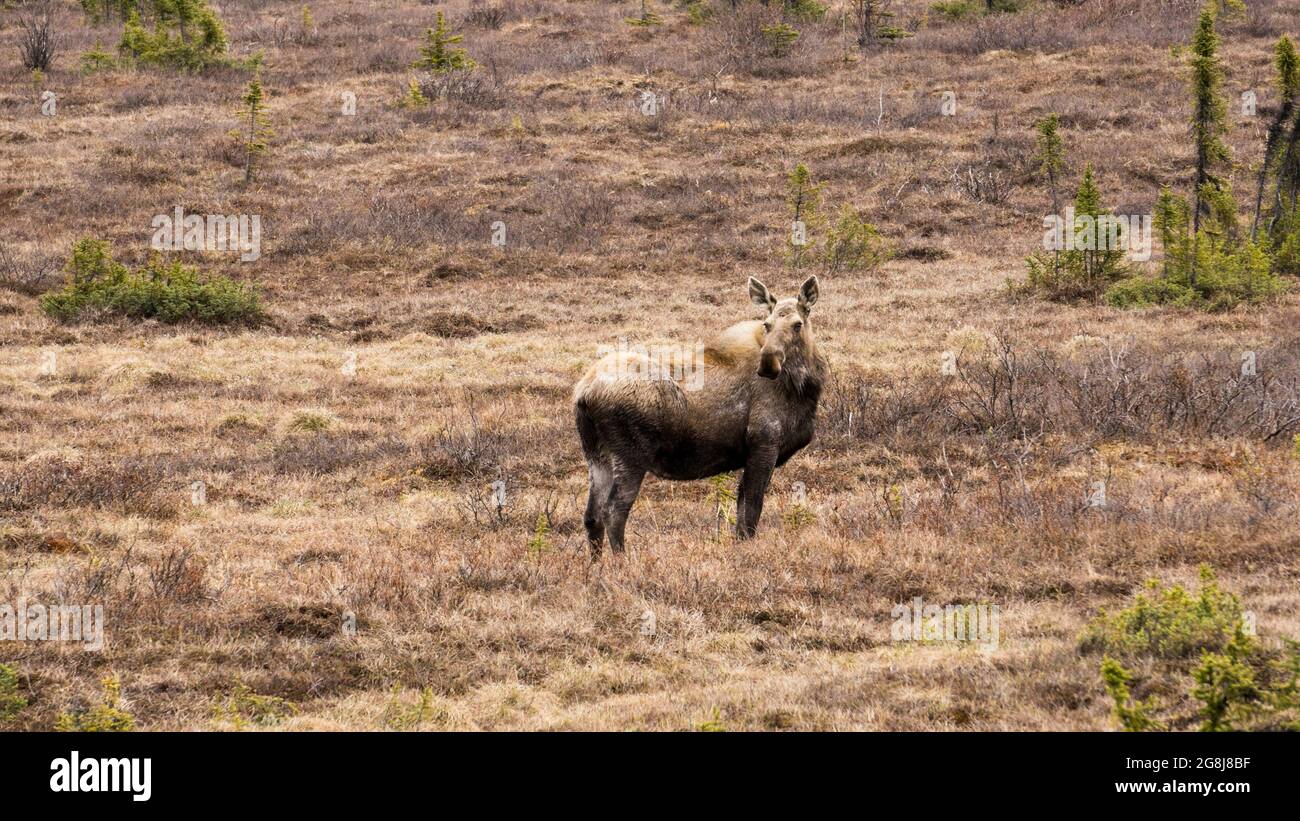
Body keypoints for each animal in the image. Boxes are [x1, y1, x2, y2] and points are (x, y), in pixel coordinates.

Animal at [574, 272, 826, 555]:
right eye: (767, 324)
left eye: (797, 324)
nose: (768, 364)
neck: (803, 389)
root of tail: (584, 393)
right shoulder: (764, 443)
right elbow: (750, 513)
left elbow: (741, 514)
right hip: (630, 456)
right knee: (614, 512)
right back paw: (621, 561)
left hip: (596, 455)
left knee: (592, 516)